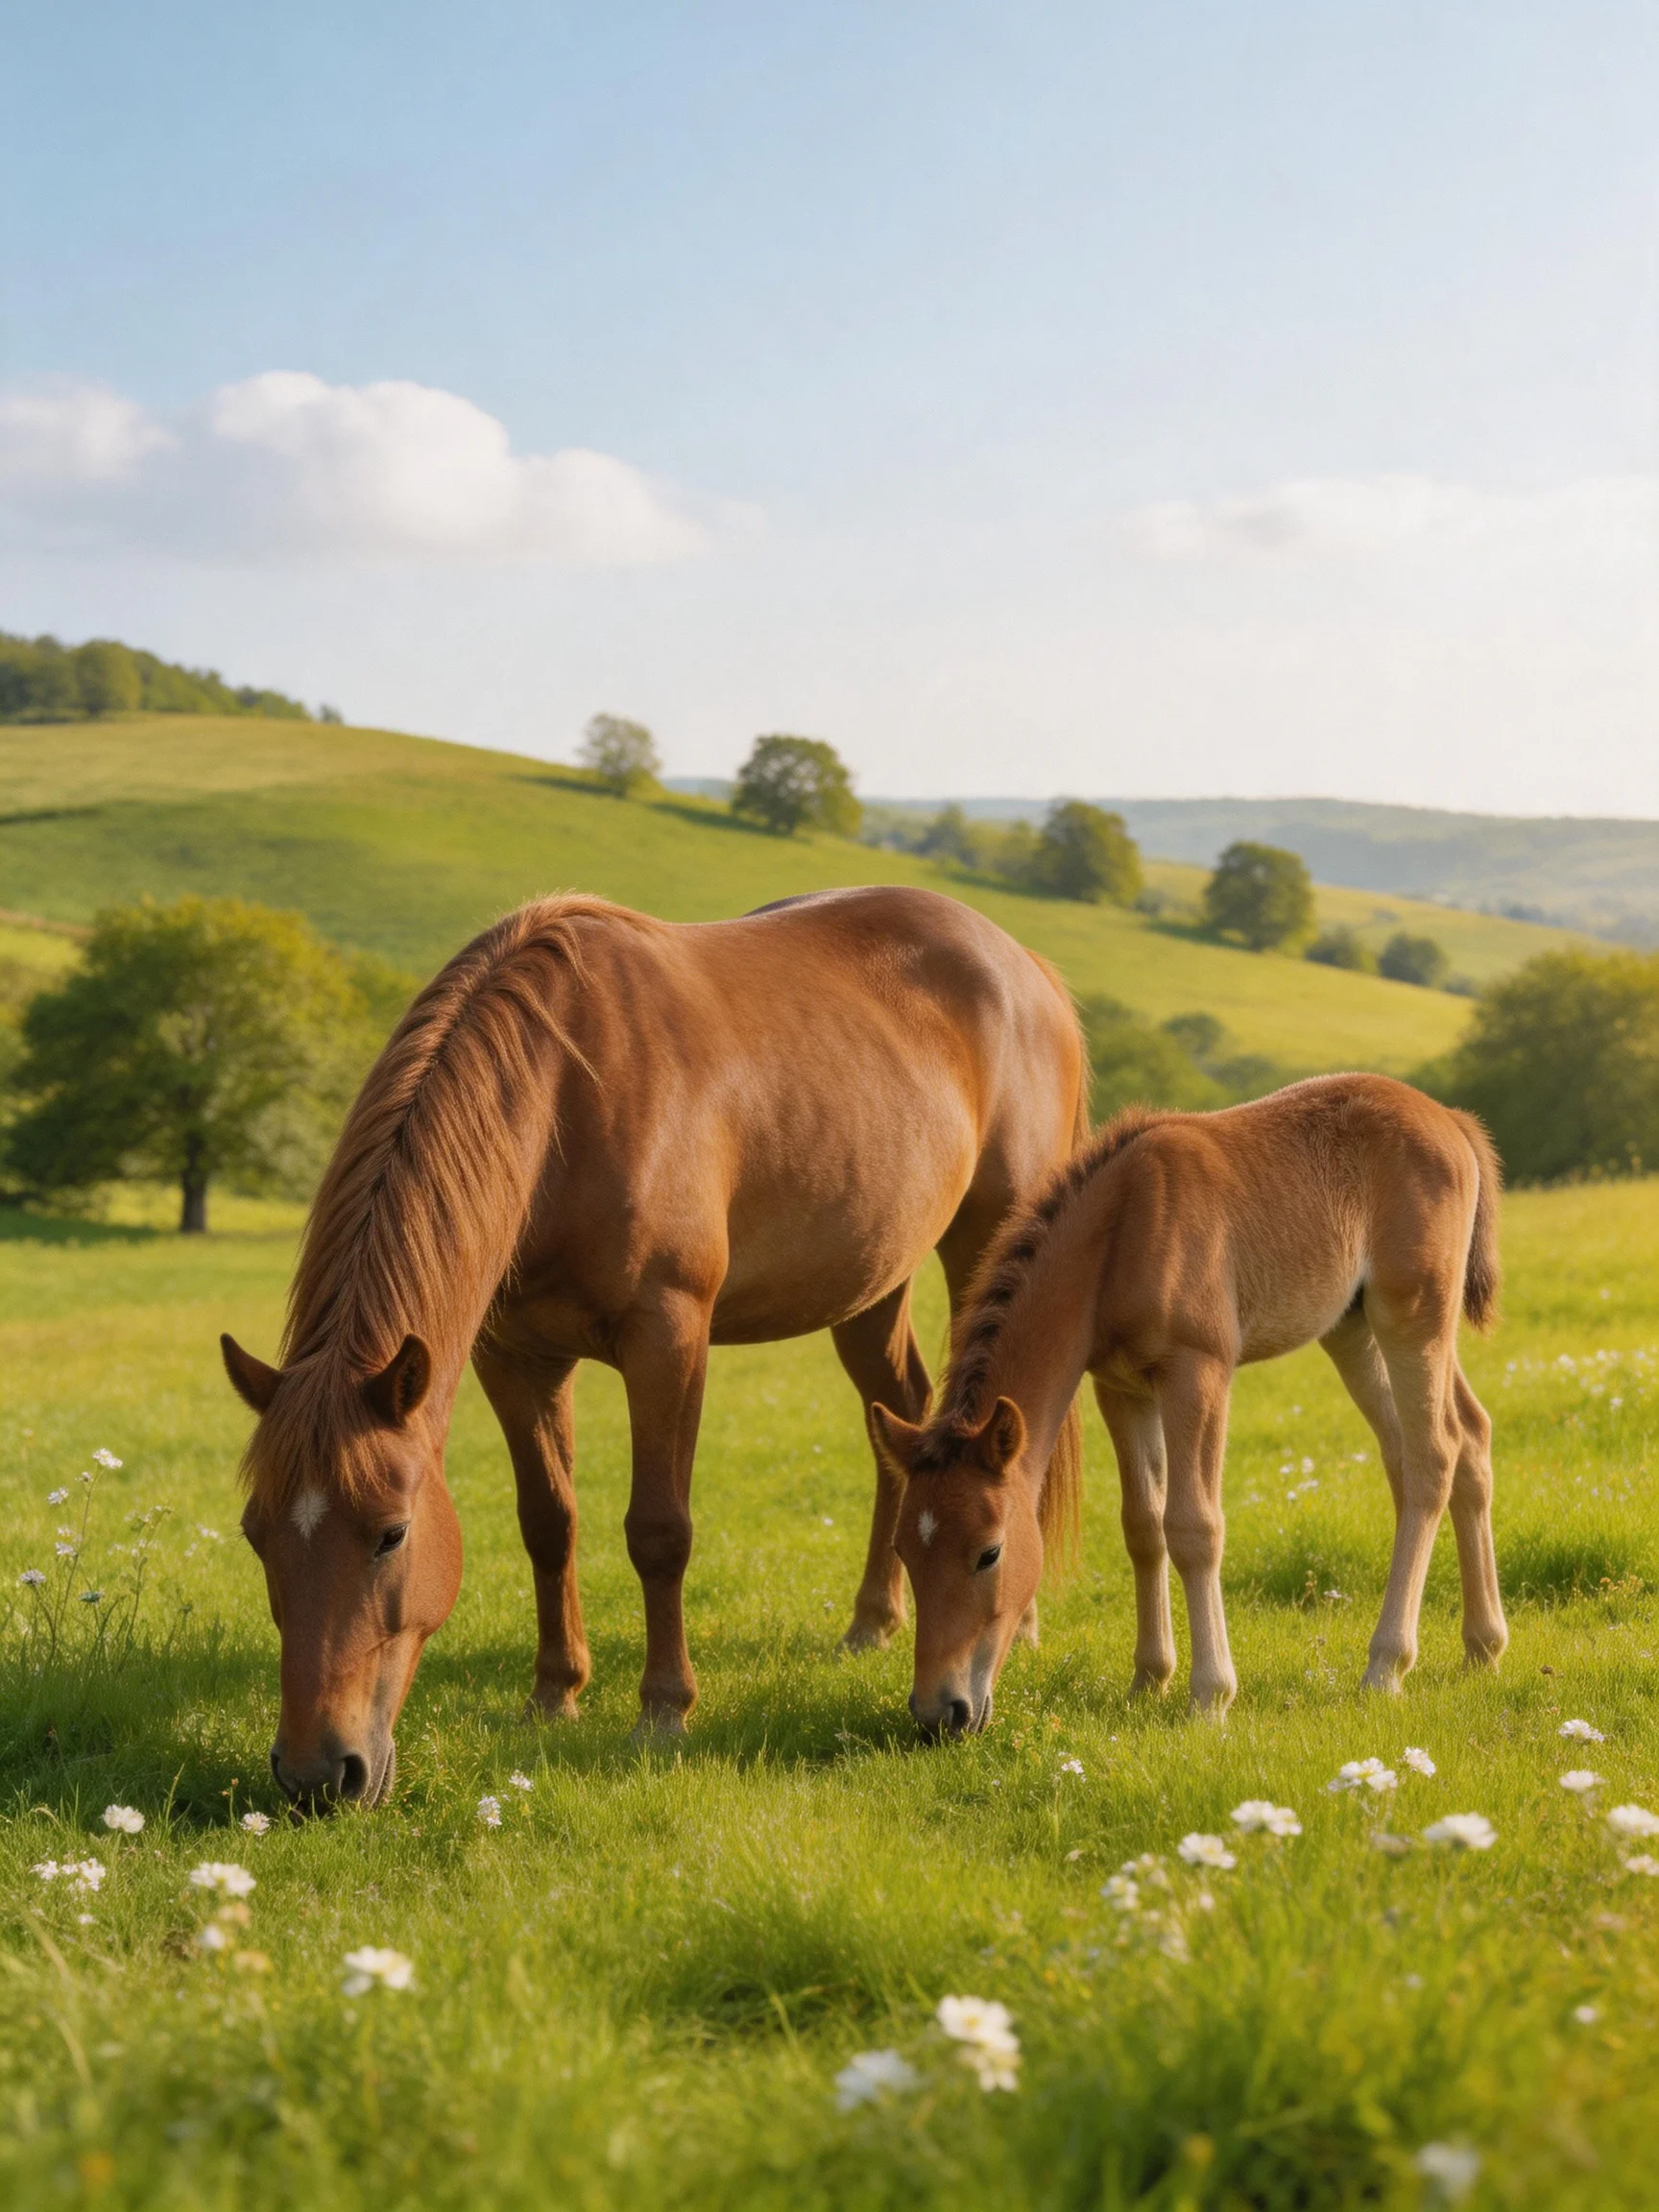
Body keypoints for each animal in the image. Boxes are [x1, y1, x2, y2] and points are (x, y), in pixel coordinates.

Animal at [221, 885, 1087, 1807]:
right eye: (255, 1532)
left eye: (391, 1533)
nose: (316, 1775)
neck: (567, 1092)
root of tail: (1028, 967)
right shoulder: (515, 1358)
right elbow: (547, 1521)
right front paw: (554, 1693)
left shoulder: (668, 1338)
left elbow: (659, 1531)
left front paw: (664, 1710)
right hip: (872, 1278)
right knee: (902, 1413)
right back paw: (873, 1621)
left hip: (987, 1242)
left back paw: (1016, 1618)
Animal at [870, 1073, 1507, 1734]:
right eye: (903, 1551)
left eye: (989, 1553)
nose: (939, 1712)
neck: (1122, 1230)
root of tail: (1451, 1119)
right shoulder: (1121, 1389)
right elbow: (1143, 1525)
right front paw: (1148, 1679)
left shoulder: (1196, 1372)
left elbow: (1193, 1527)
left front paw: (1210, 1695)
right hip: (1353, 1330)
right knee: (1459, 1439)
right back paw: (1482, 1645)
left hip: (1413, 1316)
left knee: (1435, 1455)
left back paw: (1386, 1665)